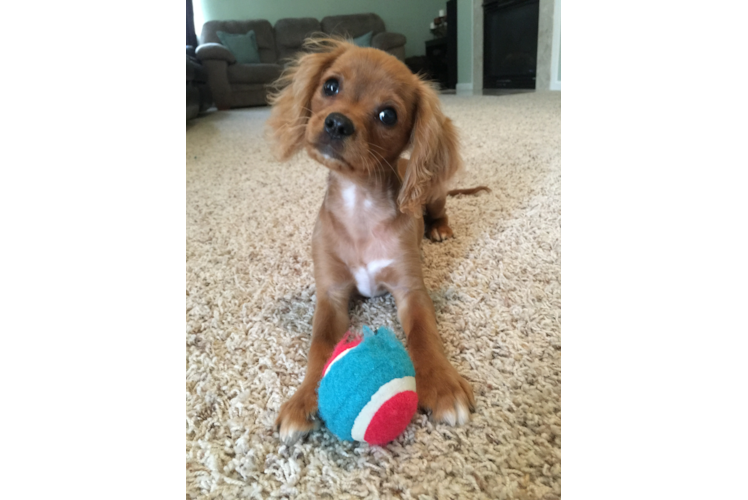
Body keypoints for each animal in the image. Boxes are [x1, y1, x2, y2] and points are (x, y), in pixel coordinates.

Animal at [266, 40, 482, 446]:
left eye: (387, 115)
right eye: (331, 86)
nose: (337, 122)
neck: (360, 204)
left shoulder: (411, 290)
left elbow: (424, 335)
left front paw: (443, 386)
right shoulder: (331, 294)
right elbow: (320, 345)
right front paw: (303, 400)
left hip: (434, 194)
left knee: (439, 211)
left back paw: (439, 229)